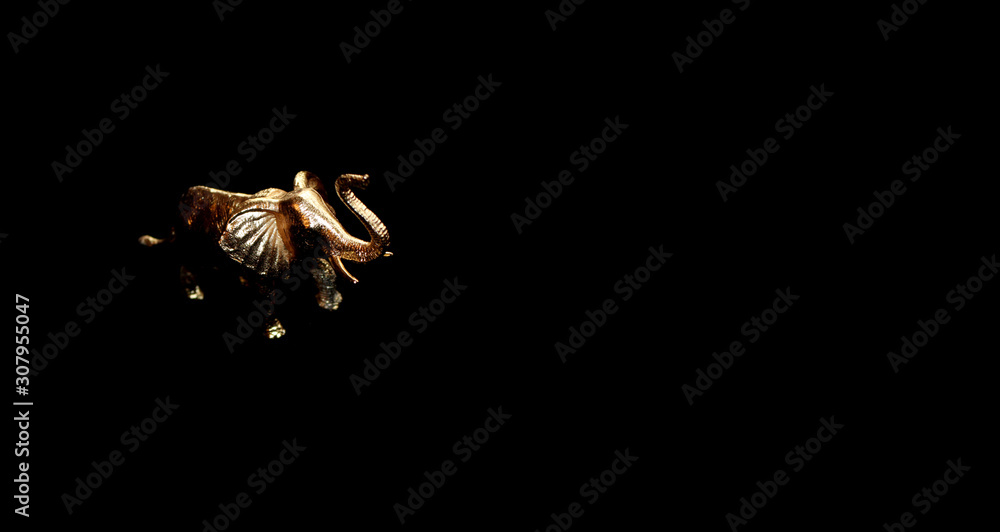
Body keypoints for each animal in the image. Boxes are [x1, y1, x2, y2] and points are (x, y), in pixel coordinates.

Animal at [139, 171, 391, 338]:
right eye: (310, 232)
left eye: (333, 213)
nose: (366, 178)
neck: (278, 203)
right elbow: (265, 294)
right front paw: (277, 334)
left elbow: (323, 269)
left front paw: (331, 307)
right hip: (188, 237)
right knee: (188, 262)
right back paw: (195, 295)